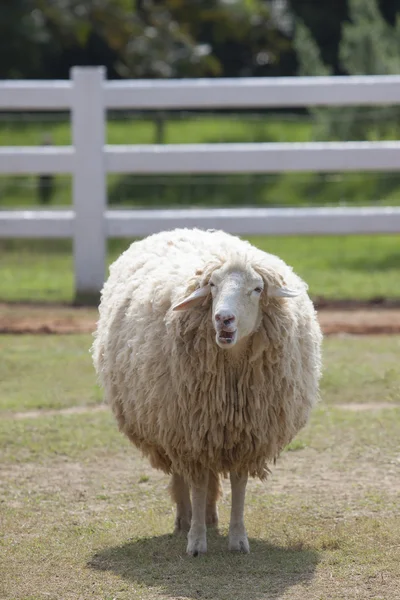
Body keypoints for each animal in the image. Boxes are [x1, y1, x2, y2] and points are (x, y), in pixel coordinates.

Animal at [91, 227, 322, 556]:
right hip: (170, 423)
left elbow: (239, 484)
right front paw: (196, 541)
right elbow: (197, 484)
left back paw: (212, 516)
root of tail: (181, 229)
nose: (223, 318)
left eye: (257, 288)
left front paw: (238, 538)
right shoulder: (190, 433)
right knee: (181, 474)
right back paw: (185, 519)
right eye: (212, 285)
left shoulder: (246, 434)